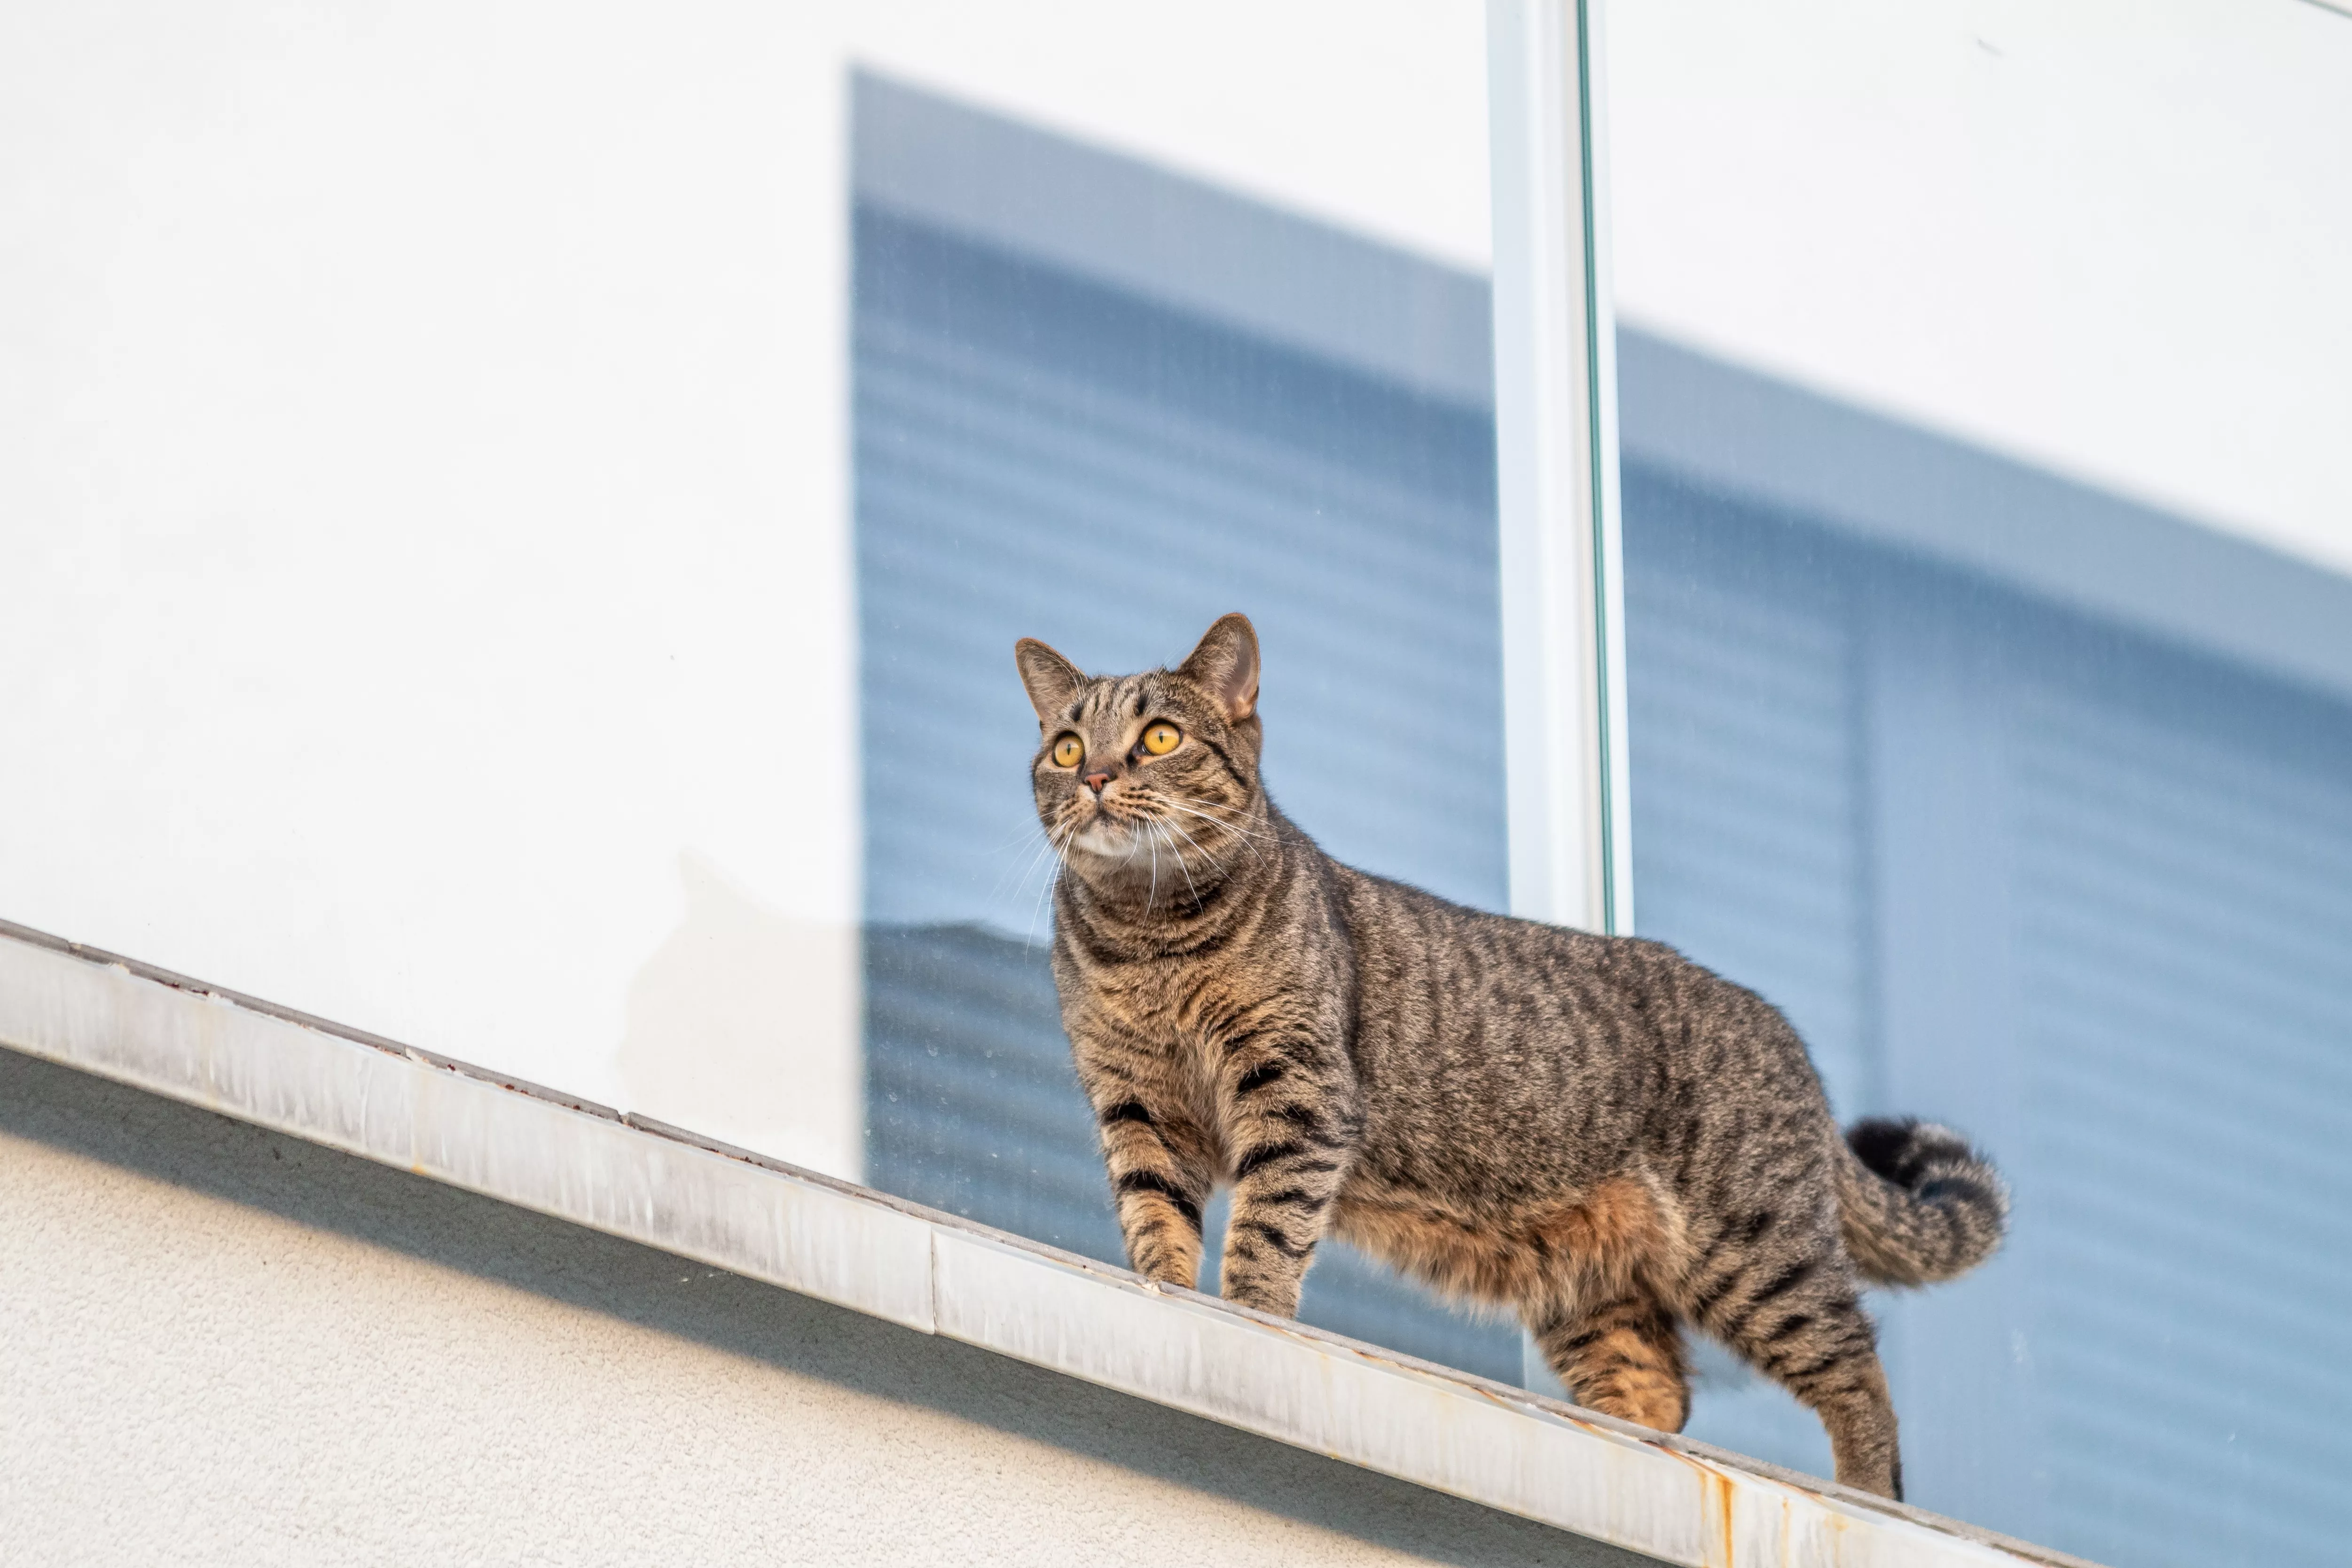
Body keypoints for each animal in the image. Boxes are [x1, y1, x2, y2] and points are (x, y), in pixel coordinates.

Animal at [1011, 611, 2004, 1495]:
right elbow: (1154, 1217)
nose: (1094, 774)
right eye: (1065, 747)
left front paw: (1244, 1324)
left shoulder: (1296, 1090)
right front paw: (1162, 1300)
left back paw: (1865, 1491)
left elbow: (1265, 1232)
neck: (1148, 937)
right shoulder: (1135, 1103)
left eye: (1159, 737)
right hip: (1589, 1292)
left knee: (1856, 1371)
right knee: (1657, 1392)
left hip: (1757, 1252)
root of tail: (1787, 1039)